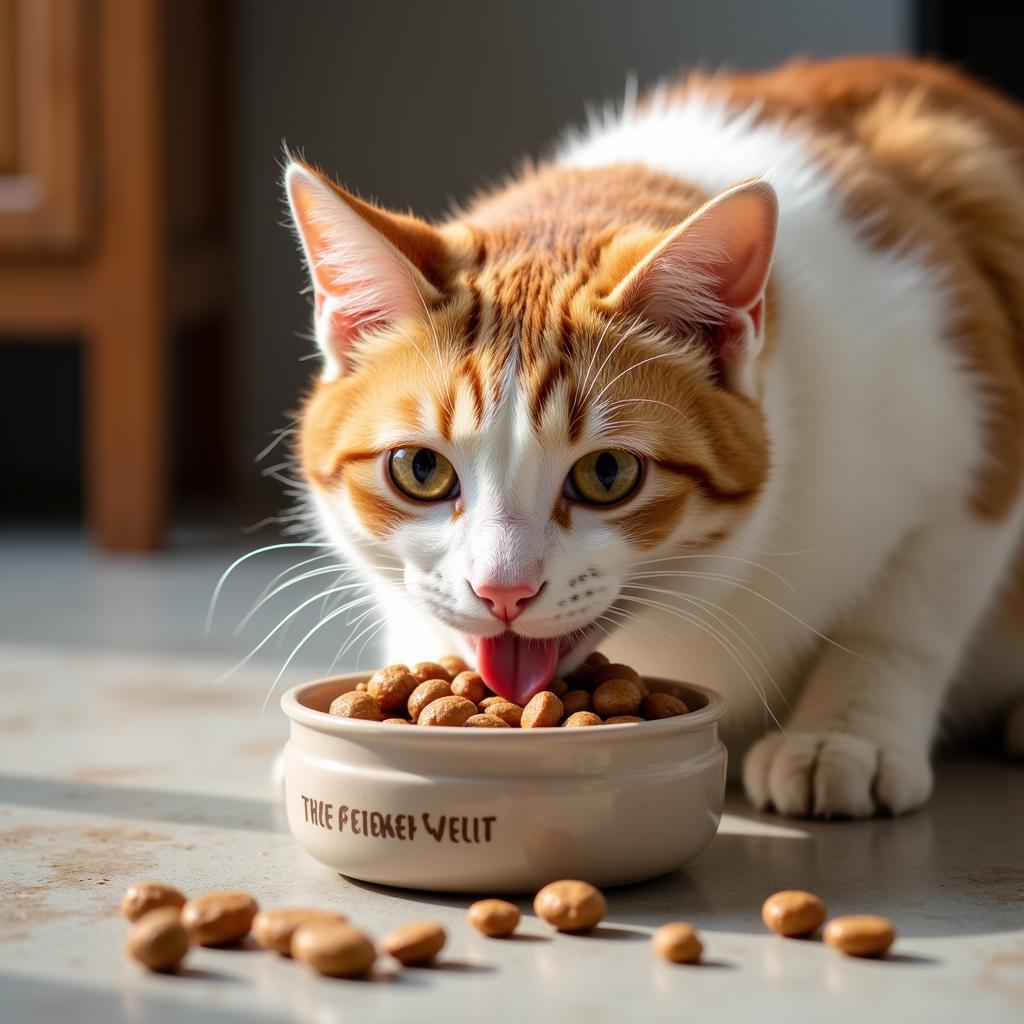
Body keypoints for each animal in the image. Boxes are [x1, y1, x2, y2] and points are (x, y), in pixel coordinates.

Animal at [280, 58, 1024, 823]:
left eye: (607, 474)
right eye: (421, 469)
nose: (502, 592)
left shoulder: (970, 426)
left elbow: (904, 618)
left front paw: (843, 735)